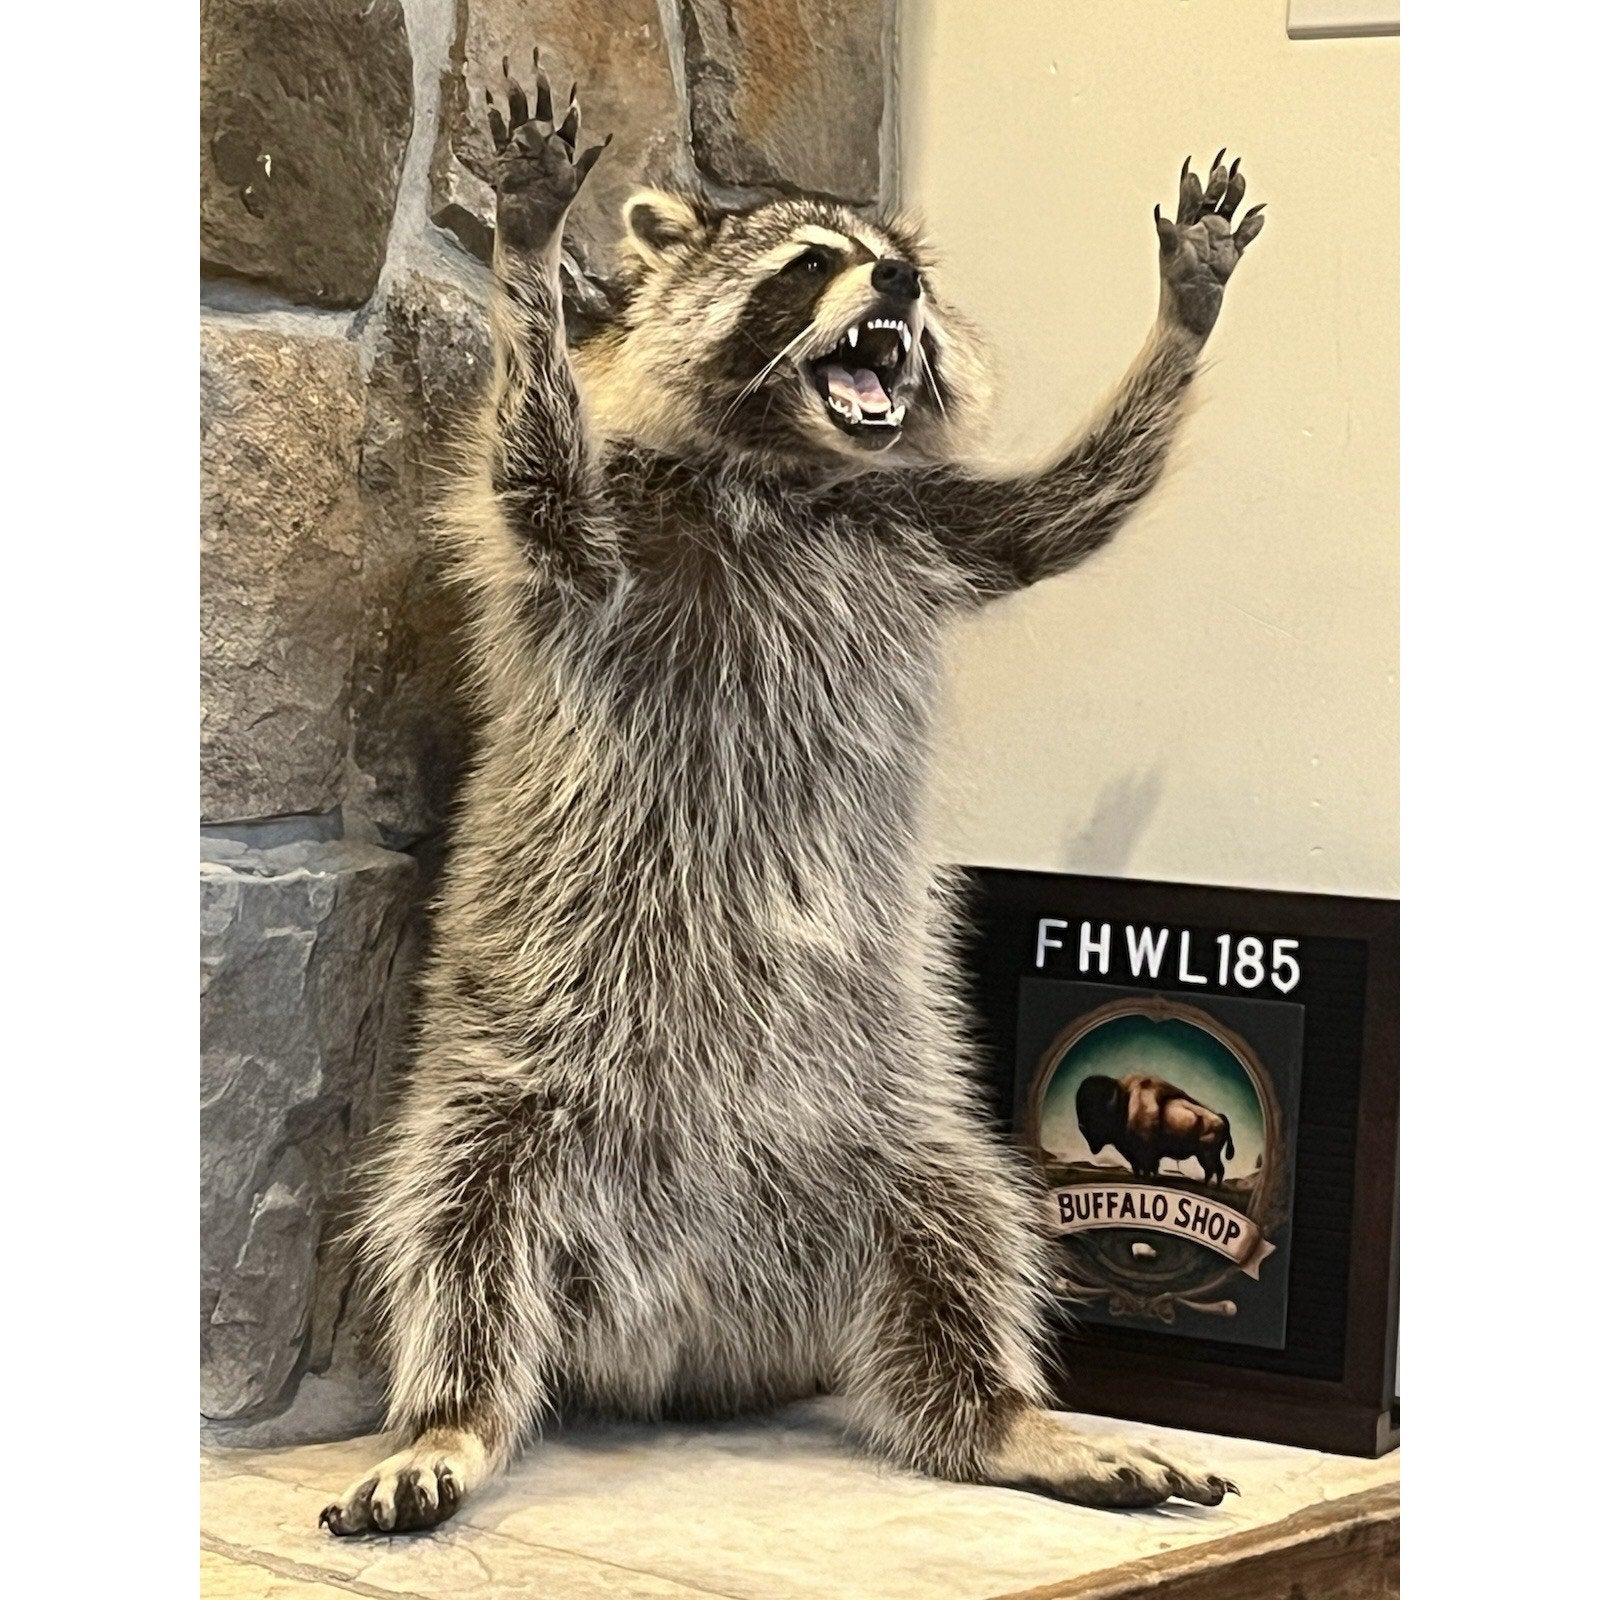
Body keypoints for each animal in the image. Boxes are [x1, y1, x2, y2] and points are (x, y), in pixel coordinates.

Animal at [320, 57, 1264, 1537]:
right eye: (813, 262)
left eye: (900, 261)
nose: (900, 288)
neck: (789, 465)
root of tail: (691, 1328)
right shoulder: (605, 538)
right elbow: (534, 478)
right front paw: (529, 253)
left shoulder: (930, 529)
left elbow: (1072, 508)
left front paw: (1183, 315)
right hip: (512, 1078)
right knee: (453, 1226)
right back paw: (452, 1416)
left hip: (897, 1111)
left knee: (967, 1224)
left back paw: (1006, 1416)